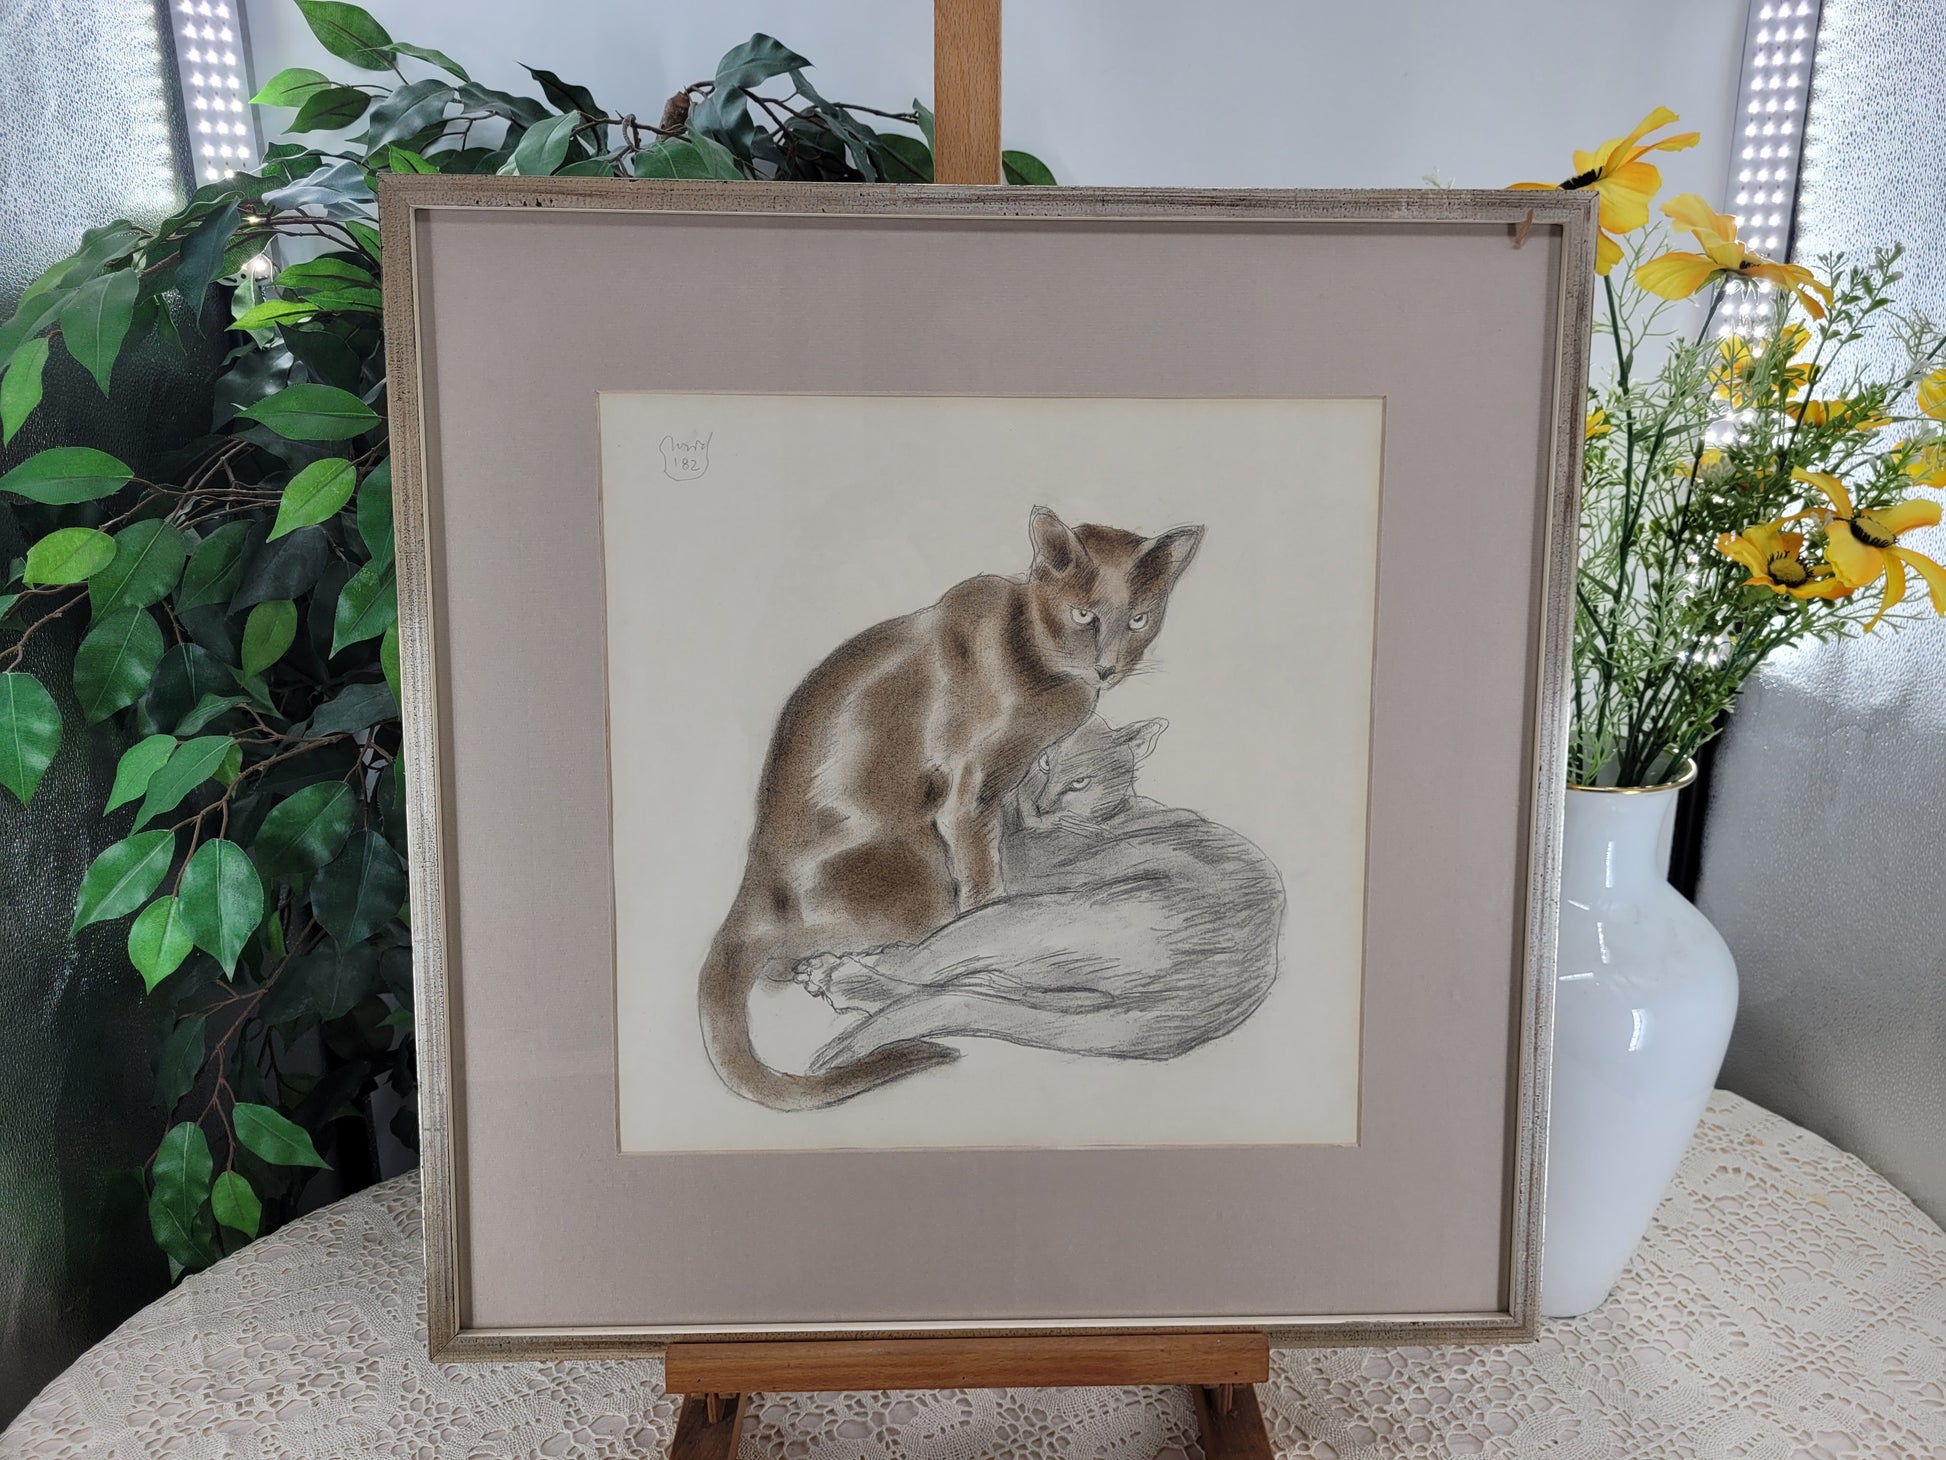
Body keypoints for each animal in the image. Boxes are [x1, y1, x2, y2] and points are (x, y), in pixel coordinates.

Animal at [698, 504, 1204, 1110]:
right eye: (1084, 615)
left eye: (1139, 620)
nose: (1107, 668)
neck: (1038, 664)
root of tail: (751, 884)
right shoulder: (969, 797)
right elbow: (984, 891)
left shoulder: (1003, 793)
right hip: (917, 876)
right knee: (787, 960)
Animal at [796, 714, 1284, 1075]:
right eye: (1046, 761)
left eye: (1080, 782)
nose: (1041, 803)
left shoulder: (1021, 861)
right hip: (1056, 984)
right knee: (978, 991)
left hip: (1030, 917)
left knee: (930, 967)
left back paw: (837, 975)